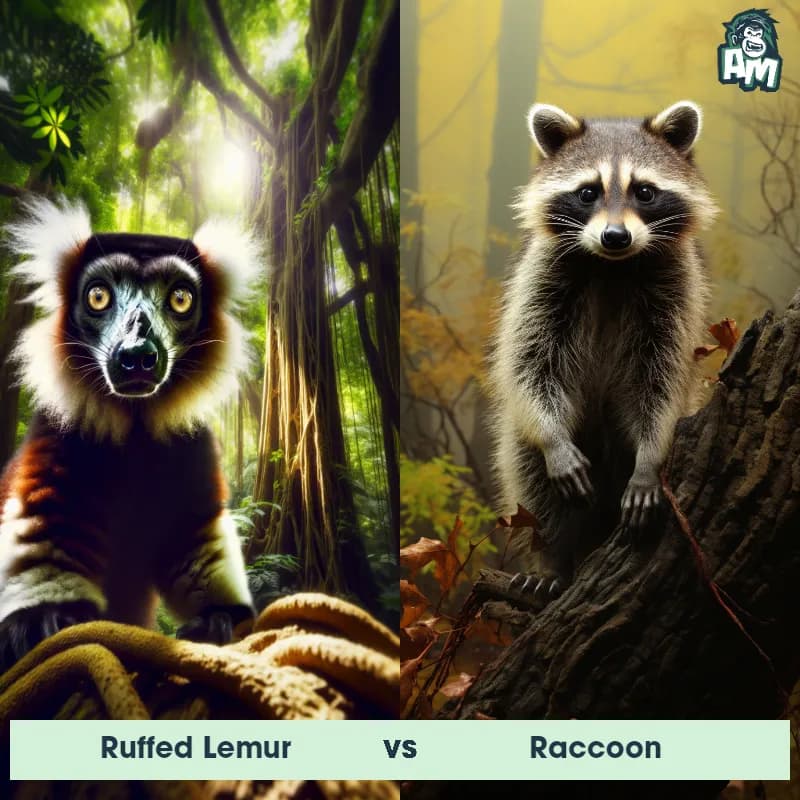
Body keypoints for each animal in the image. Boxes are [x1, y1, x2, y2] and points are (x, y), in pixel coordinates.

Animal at [489, 101, 718, 596]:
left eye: (645, 192)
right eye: (588, 192)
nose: (615, 236)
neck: (614, 266)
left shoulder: (677, 290)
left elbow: (664, 382)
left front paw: (652, 456)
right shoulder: (540, 277)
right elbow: (529, 364)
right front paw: (553, 438)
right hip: (526, 451)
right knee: (532, 483)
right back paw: (555, 561)